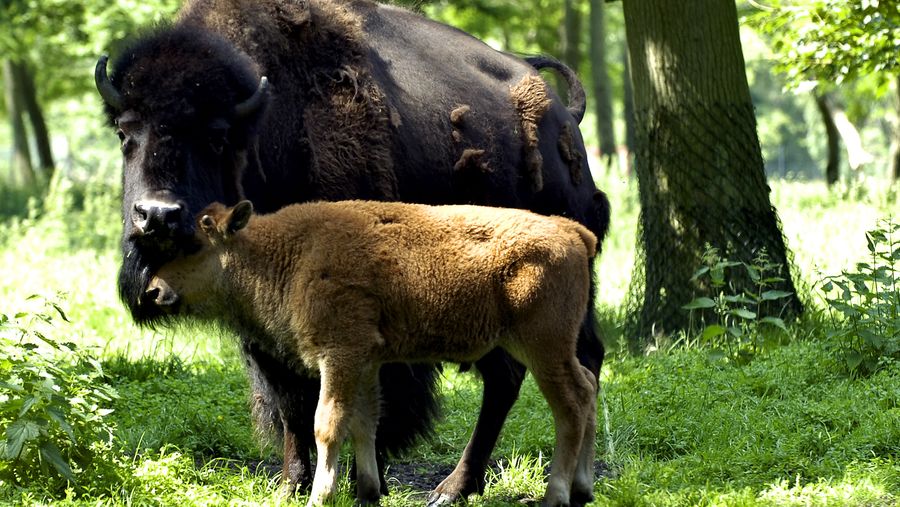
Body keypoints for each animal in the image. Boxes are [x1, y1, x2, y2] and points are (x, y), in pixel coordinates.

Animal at [96, 0, 610, 503]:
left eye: (216, 135)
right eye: (125, 133)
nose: (157, 216)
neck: (272, 123)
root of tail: (563, 115)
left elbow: (366, 406)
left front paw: (365, 480)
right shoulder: (271, 324)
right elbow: (291, 400)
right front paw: (293, 482)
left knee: (553, 374)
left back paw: (462, 487)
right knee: (525, 376)